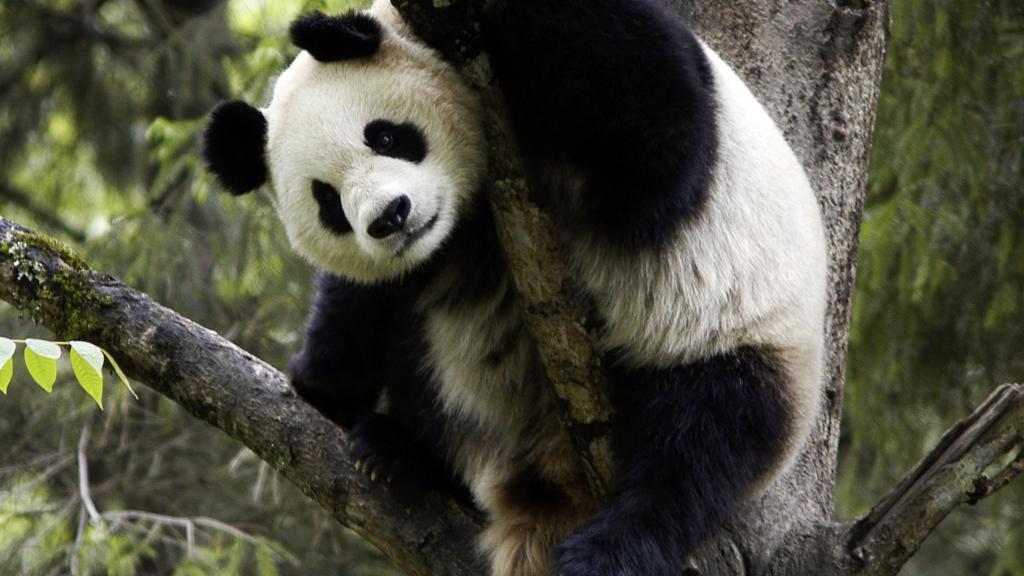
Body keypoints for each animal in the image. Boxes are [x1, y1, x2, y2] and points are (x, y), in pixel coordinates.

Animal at [201, 0, 828, 575]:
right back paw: (402, 455)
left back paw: (608, 551)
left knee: (703, 441)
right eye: (327, 202)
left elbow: (657, 144)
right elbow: (361, 301)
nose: (389, 218)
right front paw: (322, 383)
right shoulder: (423, 254)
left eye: (385, 136)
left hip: (739, 335)